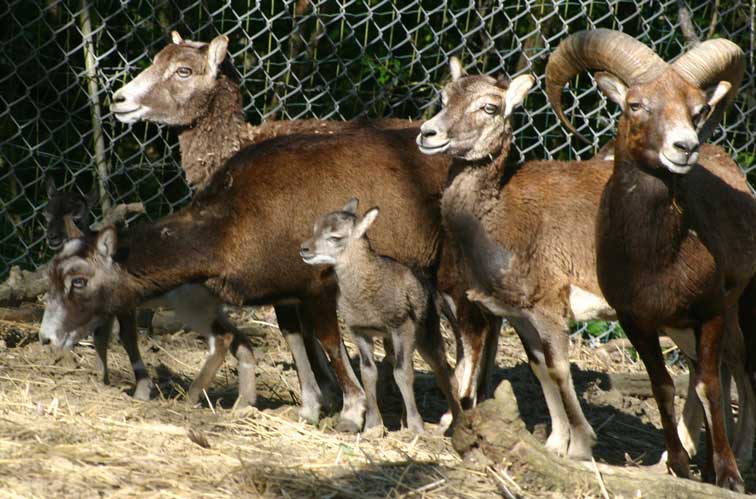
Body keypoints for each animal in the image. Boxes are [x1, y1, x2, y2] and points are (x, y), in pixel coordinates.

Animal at [300, 199, 460, 434]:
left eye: (335, 237)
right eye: (314, 229)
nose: (304, 249)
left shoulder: (402, 326)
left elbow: (403, 372)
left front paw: (417, 427)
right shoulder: (359, 330)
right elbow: (368, 372)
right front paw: (373, 426)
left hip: (427, 331)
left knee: (444, 371)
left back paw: (454, 421)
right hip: (392, 338)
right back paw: (404, 421)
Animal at [548, 30, 752, 492]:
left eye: (698, 109)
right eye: (636, 104)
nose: (685, 147)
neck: (657, 259)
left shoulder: (711, 312)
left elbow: (711, 387)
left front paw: (729, 478)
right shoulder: (637, 321)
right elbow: (663, 387)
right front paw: (678, 466)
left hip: (736, 313)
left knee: (735, 374)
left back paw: (738, 460)